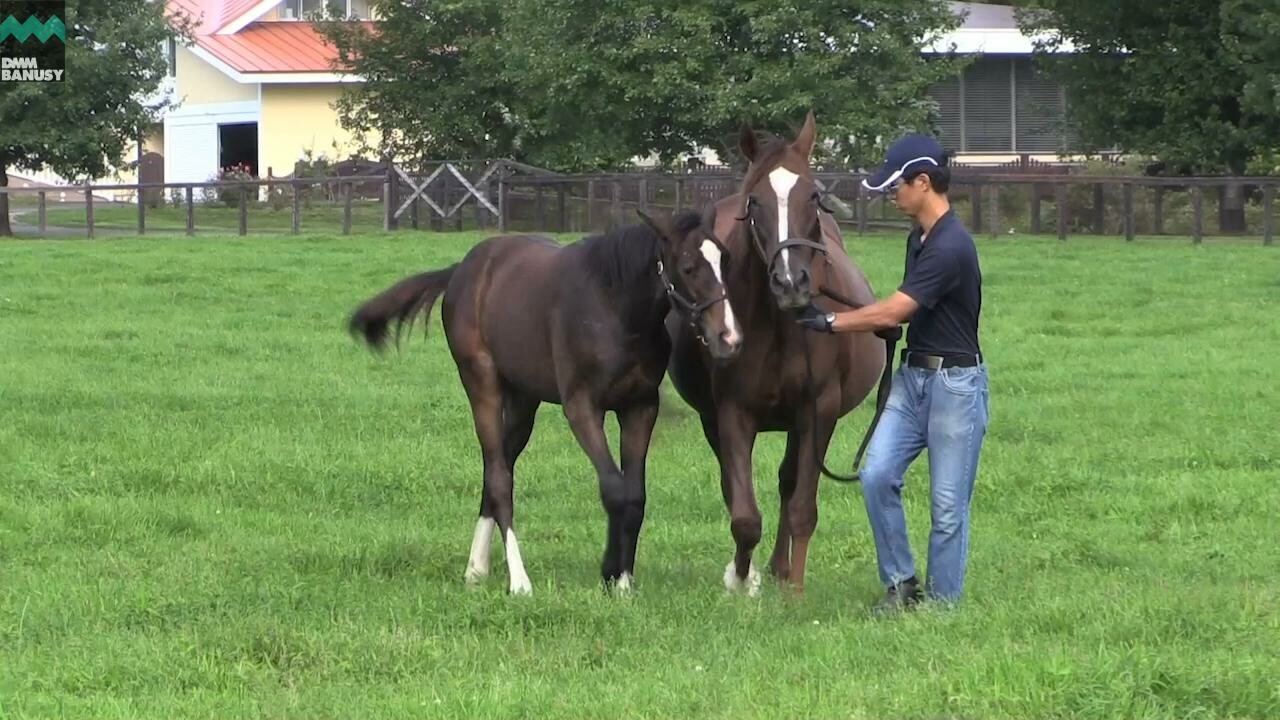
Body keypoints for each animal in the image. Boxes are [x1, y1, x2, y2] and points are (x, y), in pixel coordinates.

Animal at [350, 211, 742, 594]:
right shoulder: (582, 407)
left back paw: (476, 569)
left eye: (725, 260)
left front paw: (622, 581)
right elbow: (614, 490)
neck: (614, 308)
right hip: (481, 383)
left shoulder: (640, 407)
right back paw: (519, 581)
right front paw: (611, 575)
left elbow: (635, 495)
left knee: (498, 467)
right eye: (688, 267)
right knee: (499, 478)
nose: (729, 338)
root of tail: (462, 269)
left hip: (524, 400)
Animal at [665, 112, 885, 591]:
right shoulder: (732, 411)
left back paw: (781, 568)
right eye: (755, 203)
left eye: (814, 196)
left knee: (787, 482)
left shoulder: (818, 412)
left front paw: (794, 587)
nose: (790, 282)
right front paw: (740, 579)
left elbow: (802, 505)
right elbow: (744, 513)